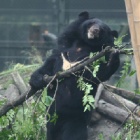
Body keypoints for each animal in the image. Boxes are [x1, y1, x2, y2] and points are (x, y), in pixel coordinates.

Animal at [29, 11, 120, 140]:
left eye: (102, 30)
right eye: (92, 23)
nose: (95, 30)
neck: (84, 44)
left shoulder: (91, 61)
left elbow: (100, 73)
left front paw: (114, 56)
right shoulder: (63, 50)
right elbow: (49, 64)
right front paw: (36, 80)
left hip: (76, 118)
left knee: (74, 134)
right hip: (51, 119)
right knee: (51, 134)